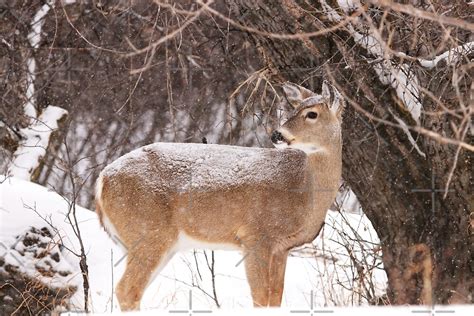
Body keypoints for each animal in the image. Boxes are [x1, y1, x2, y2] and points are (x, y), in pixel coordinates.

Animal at [95, 80, 344, 310]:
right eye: (293, 110)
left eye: (311, 113)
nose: (277, 135)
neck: (305, 192)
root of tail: (102, 180)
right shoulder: (255, 235)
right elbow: (260, 298)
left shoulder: (282, 248)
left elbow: (275, 298)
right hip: (148, 231)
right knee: (127, 290)